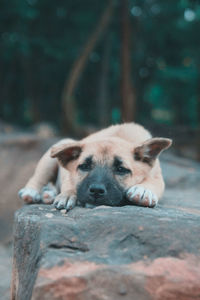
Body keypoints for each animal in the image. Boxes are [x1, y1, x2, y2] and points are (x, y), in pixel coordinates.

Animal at [19, 123, 172, 210]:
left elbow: (152, 183)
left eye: (121, 169)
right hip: (55, 151)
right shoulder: (69, 174)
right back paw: (32, 192)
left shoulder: (157, 177)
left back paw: (48, 194)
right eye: (84, 166)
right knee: (38, 177)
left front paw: (144, 190)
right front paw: (67, 195)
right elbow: (71, 184)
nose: (96, 191)